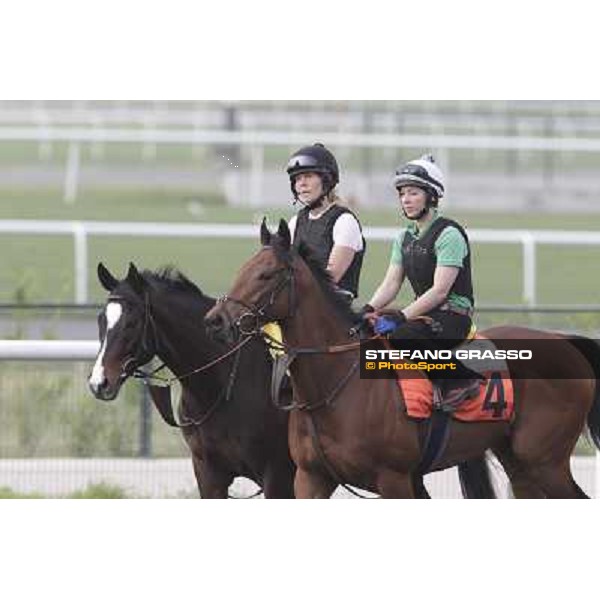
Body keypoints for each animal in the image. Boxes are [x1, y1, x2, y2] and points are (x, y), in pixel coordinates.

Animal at [205, 218, 600, 500]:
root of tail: (565, 341)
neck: (336, 386)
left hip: (545, 460)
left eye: (266, 274)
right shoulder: (311, 478)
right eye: (242, 269)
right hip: (519, 462)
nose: (215, 321)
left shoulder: (394, 480)